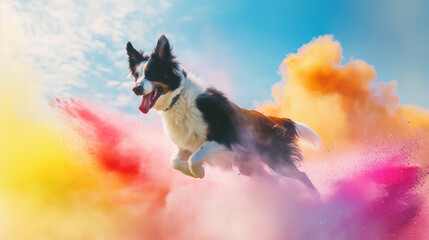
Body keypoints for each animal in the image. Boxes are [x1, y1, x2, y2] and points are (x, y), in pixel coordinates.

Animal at [126, 34, 320, 190]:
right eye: (136, 75)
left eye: (151, 73)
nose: (135, 89)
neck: (179, 98)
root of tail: (273, 119)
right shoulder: (186, 143)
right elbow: (174, 161)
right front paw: (192, 172)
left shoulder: (223, 137)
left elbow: (195, 158)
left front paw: (199, 172)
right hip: (251, 165)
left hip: (276, 158)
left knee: (302, 176)